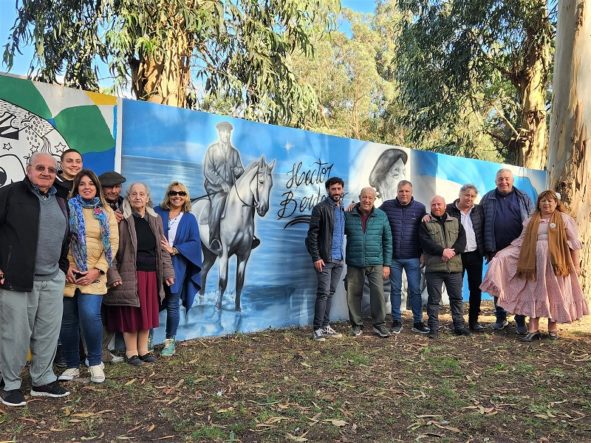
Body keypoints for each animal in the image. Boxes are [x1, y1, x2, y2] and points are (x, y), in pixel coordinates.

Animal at [194, 158, 278, 310]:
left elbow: (239, 283)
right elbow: (223, 282)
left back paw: (201, 301)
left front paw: (238, 309)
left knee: (203, 272)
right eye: (261, 181)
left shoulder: (244, 254)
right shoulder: (224, 253)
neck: (238, 216)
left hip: (210, 253)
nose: (263, 209)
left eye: (271, 185)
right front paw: (218, 308)